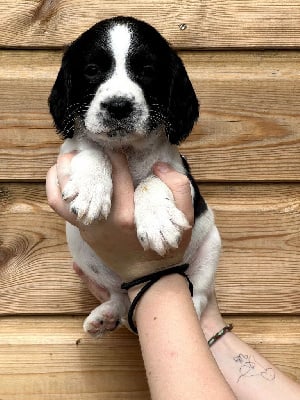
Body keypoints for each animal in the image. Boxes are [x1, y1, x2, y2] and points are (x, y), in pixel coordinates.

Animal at [48, 15, 219, 336]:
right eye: (92, 70)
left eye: (147, 71)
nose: (118, 106)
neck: (126, 150)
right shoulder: (69, 152)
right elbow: (92, 149)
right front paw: (92, 188)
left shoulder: (180, 175)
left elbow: (152, 180)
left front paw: (158, 220)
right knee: (119, 294)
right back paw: (107, 315)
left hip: (210, 248)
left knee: (200, 296)